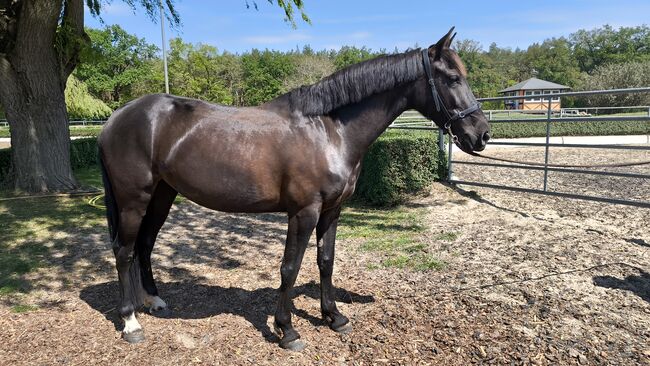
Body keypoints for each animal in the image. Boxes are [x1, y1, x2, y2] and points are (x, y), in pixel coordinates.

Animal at [98, 27, 488, 348]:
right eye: (452, 77)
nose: (481, 135)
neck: (328, 132)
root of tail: (116, 119)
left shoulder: (332, 210)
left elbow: (325, 261)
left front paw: (335, 318)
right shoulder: (303, 213)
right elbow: (290, 267)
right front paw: (287, 329)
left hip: (162, 195)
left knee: (144, 246)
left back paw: (153, 301)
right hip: (134, 200)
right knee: (123, 251)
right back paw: (130, 322)